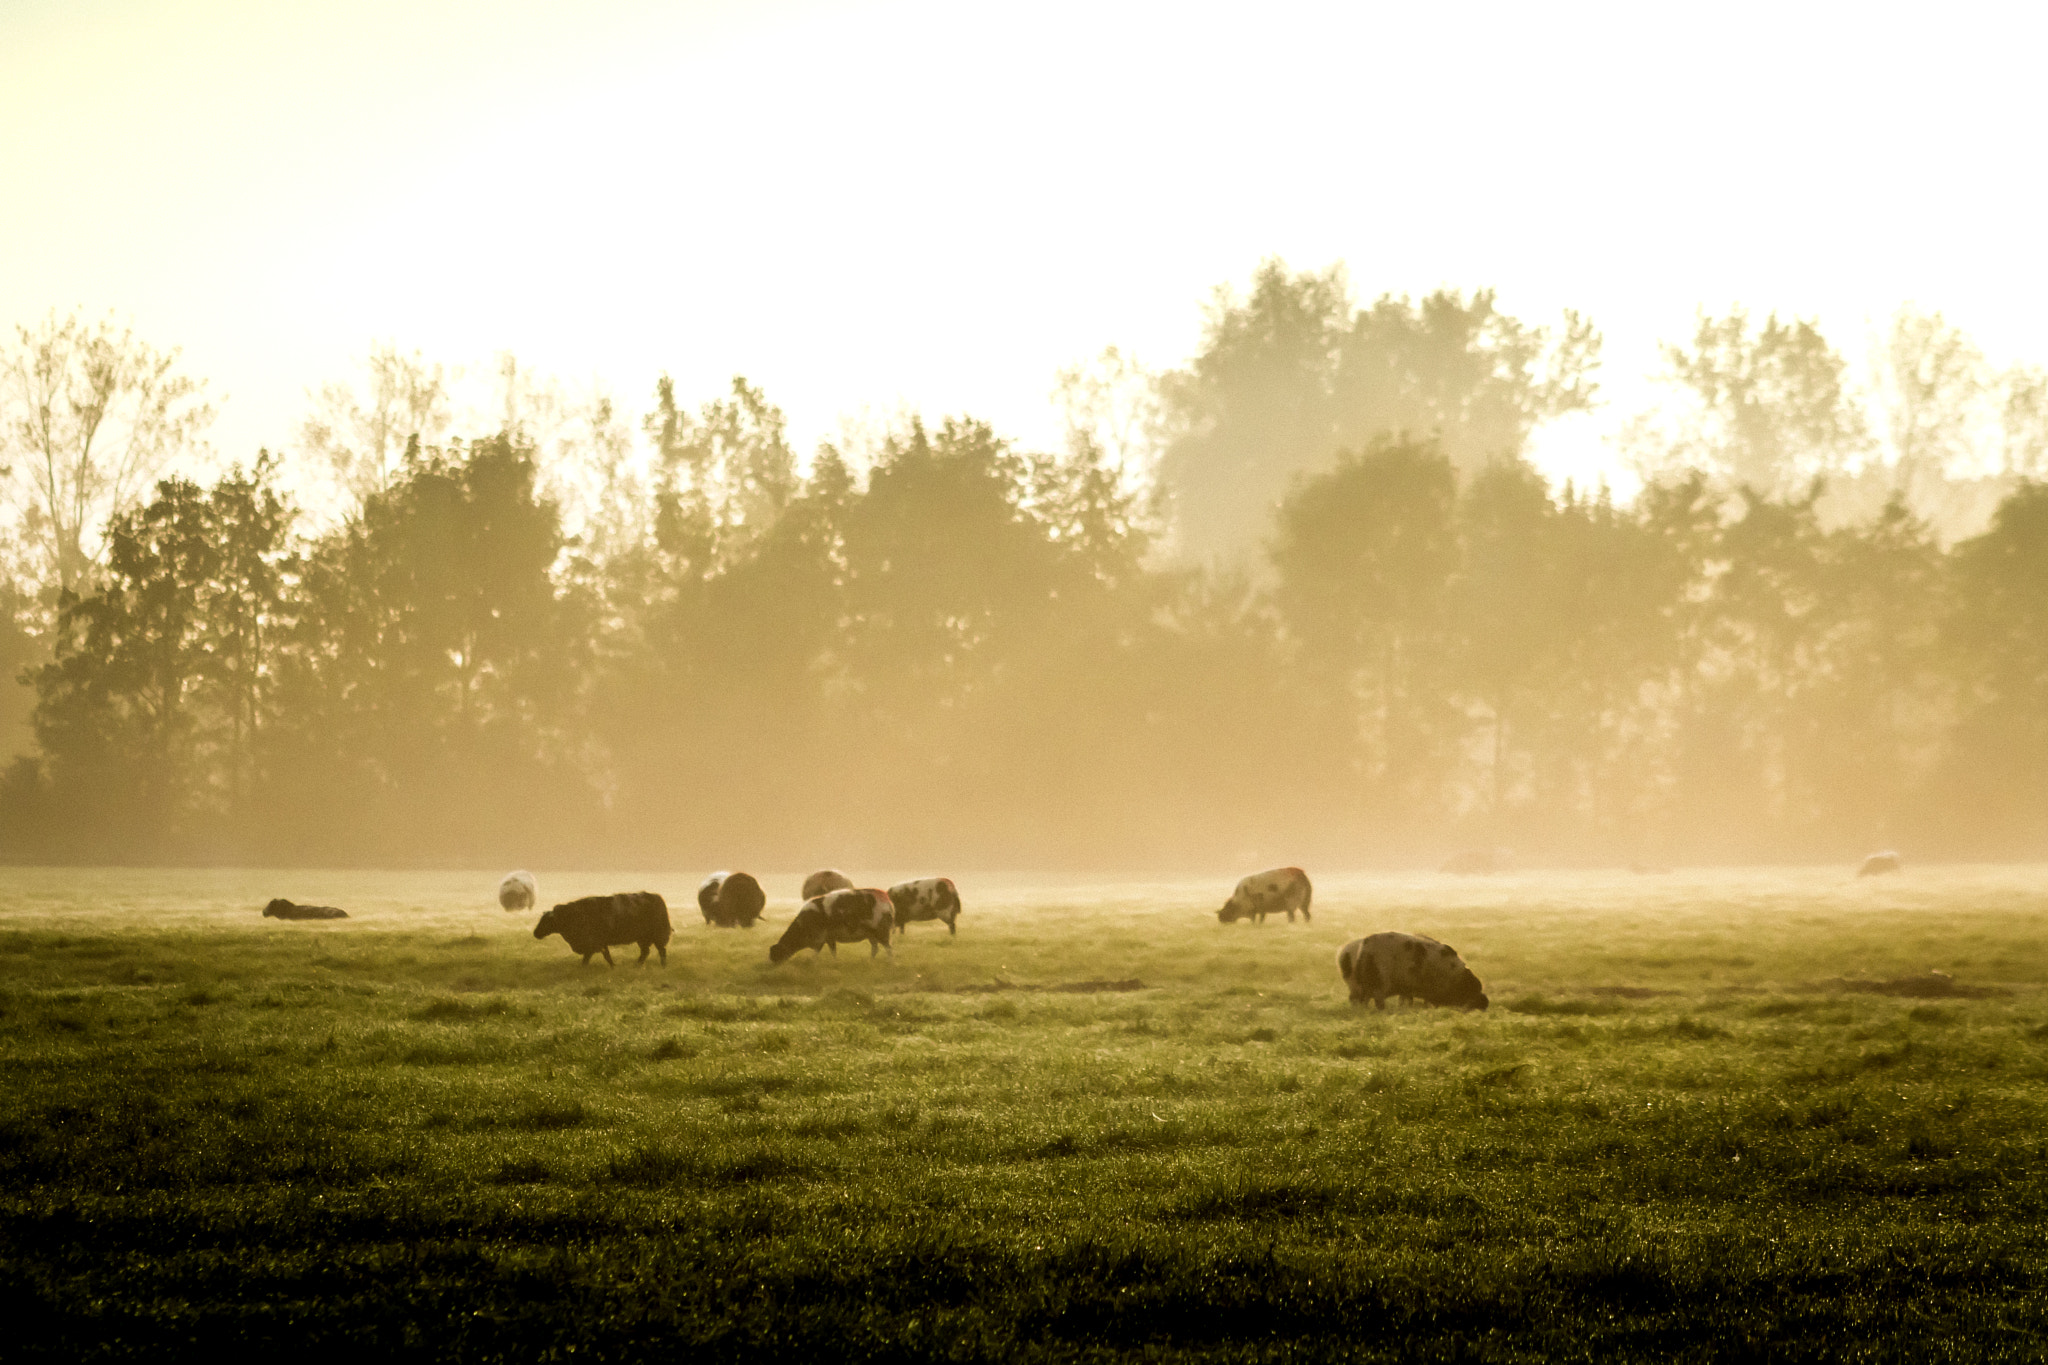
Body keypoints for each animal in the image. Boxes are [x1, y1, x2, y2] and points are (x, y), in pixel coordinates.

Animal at [536, 892, 671, 965]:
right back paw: (637, 965)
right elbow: (597, 958)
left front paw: (613, 967)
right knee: (645, 952)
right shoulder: (597, 944)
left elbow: (603, 957)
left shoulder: (595, 943)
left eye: (546, 921)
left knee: (661, 951)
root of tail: (656, 897)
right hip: (643, 938)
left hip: (657, 935)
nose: (535, 933)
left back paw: (662, 966)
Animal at [1327, 933, 1490, 1010]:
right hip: (1377, 984)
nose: (1485, 1003)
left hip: (1358, 987)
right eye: (1471, 989)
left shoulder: (1407, 988)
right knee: (1375, 1001)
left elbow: (1406, 1000)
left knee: (1358, 1000)